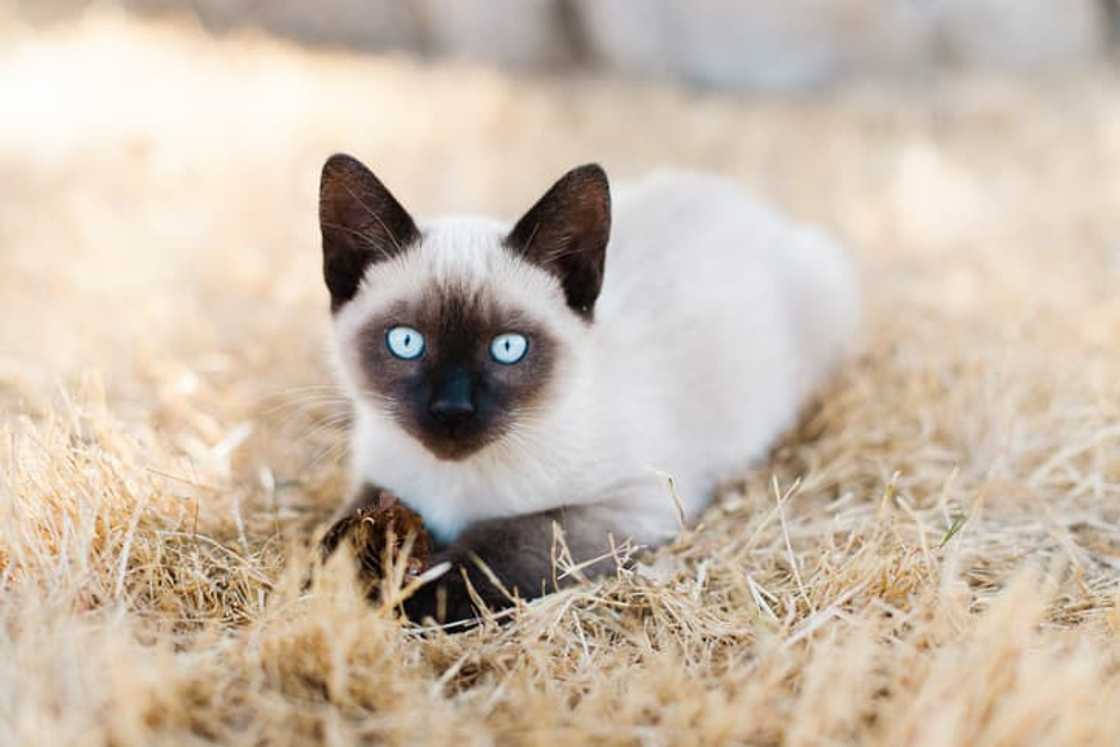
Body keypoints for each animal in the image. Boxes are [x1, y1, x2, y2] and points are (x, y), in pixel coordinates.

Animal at [320, 156, 860, 627]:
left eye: (508, 348)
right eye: (406, 342)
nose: (452, 409)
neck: (449, 486)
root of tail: (743, 198)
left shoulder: (631, 506)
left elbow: (507, 545)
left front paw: (416, 600)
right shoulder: (378, 476)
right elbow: (339, 531)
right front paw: (346, 571)